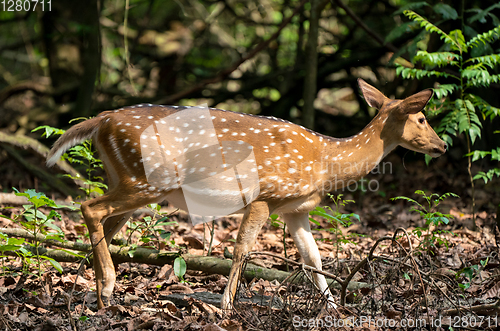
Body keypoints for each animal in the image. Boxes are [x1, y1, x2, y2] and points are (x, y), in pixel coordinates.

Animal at [46, 80, 446, 312]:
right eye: (422, 118)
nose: (442, 145)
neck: (323, 162)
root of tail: (101, 120)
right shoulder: (265, 196)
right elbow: (241, 249)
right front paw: (226, 306)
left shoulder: (295, 208)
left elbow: (313, 258)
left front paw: (333, 309)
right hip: (147, 179)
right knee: (89, 207)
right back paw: (108, 286)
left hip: (129, 179)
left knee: (104, 221)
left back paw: (94, 293)